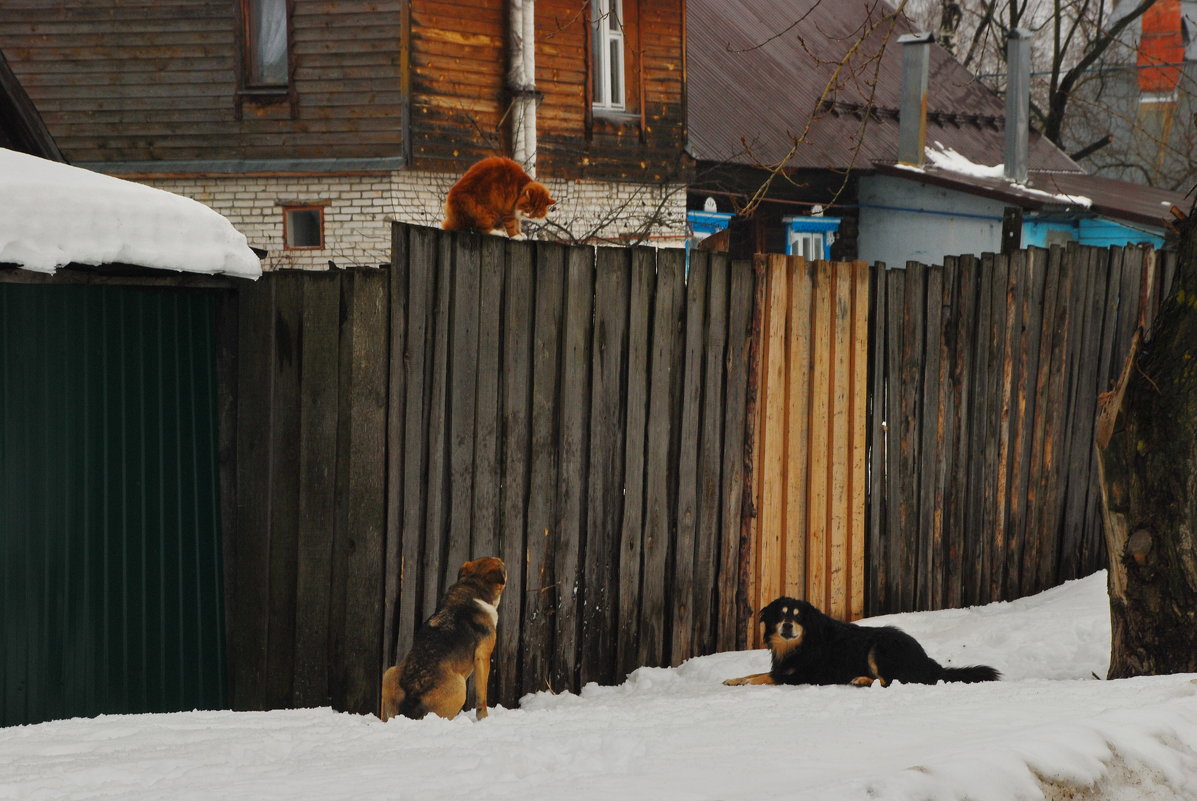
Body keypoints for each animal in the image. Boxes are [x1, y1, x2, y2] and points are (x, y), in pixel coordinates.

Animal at [380, 555, 507, 718]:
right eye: (501, 564)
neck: (473, 587)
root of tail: (411, 700)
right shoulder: (483, 657)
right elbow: (482, 695)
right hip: (460, 686)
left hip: (388, 673)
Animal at [722, 593, 995, 689]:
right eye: (781, 615)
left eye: (798, 617)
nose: (787, 626)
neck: (803, 643)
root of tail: (929, 662)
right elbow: (759, 673)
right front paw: (734, 679)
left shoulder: (806, 675)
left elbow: (765, 677)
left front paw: (746, 681)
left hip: (881, 647)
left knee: (891, 681)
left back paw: (862, 680)